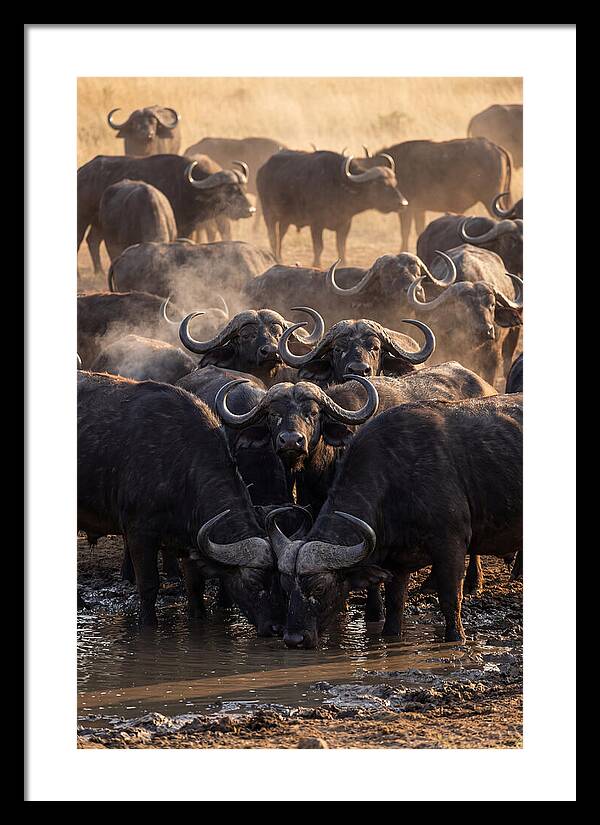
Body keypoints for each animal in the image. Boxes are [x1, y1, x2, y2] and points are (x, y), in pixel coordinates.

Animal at [77, 371, 280, 633]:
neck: (180, 464)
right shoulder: (139, 533)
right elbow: (149, 586)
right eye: (254, 581)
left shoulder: (188, 539)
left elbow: (195, 586)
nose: (276, 627)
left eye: (280, 579)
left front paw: (198, 617)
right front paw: (148, 625)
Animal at [256, 150, 407, 266]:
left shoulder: (345, 224)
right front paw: (316, 264)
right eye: (380, 184)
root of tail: (262, 170)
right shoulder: (316, 224)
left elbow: (341, 246)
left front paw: (344, 263)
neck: (339, 186)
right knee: (272, 237)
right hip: (268, 214)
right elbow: (319, 247)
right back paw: (276, 258)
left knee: (280, 235)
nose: (403, 203)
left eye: (394, 183)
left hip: (285, 219)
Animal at [271, 393, 522, 647]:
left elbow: (450, 600)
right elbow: (394, 607)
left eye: (320, 587)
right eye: (285, 586)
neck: (396, 480)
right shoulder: (397, 563)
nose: (294, 639)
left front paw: (456, 638)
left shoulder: (451, 545)